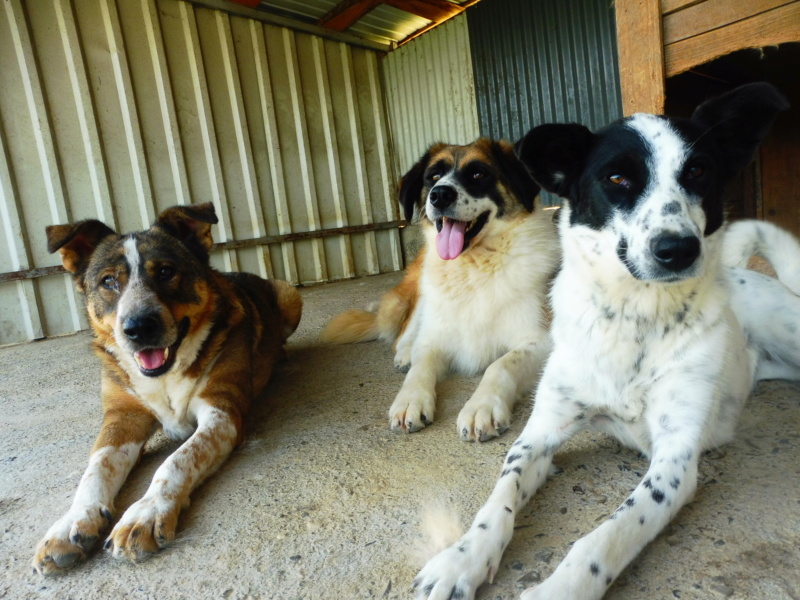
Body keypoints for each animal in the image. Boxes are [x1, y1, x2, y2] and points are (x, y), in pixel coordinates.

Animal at [32, 204, 304, 576]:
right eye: (108, 281)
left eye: (165, 271)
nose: (138, 327)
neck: (163, 375)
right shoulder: (122, 418)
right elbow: (95, 469)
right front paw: (72, 522)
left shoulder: (222, 412)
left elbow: (176, 461)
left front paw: (145, 513)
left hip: (290, 294)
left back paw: (284, 353)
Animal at [322, 139, 560, 440]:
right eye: (433, 176)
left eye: (478, 174)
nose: (439, 196)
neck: (473, 267)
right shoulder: (434, 336)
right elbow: (421, 364)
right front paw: (409, 399)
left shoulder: (541, 341)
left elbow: (500, 365)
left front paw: (481, 406)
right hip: (422, 289)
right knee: (404, 333)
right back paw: (405, 353)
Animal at [416, 81, 796, 600]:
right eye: (617, 177)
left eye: (698, 170)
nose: (679, 249)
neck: (634, 317)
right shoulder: (540, 433)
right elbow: (498, 498)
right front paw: (461, 558)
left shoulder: (675, 462)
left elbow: (607, 535)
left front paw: (559, 589)